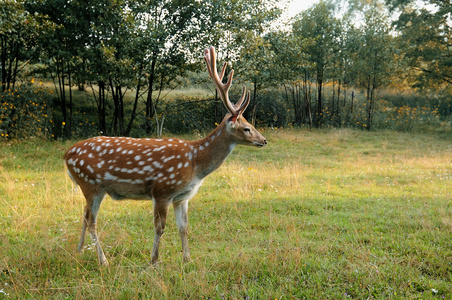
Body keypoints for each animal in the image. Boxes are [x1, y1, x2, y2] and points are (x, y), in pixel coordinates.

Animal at [65, 46, 266, 264]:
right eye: (246, 128)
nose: (264, 140)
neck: (195, 163)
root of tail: (66, 156)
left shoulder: (182, 197)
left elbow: (183, 228)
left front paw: (187, 259)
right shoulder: (162, 190)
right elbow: (160, 228)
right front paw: (154, 261)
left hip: (92, 187)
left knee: (84, 215)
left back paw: (79, 250)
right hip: (90, 183)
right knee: (91, 220)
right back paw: (103, 260)